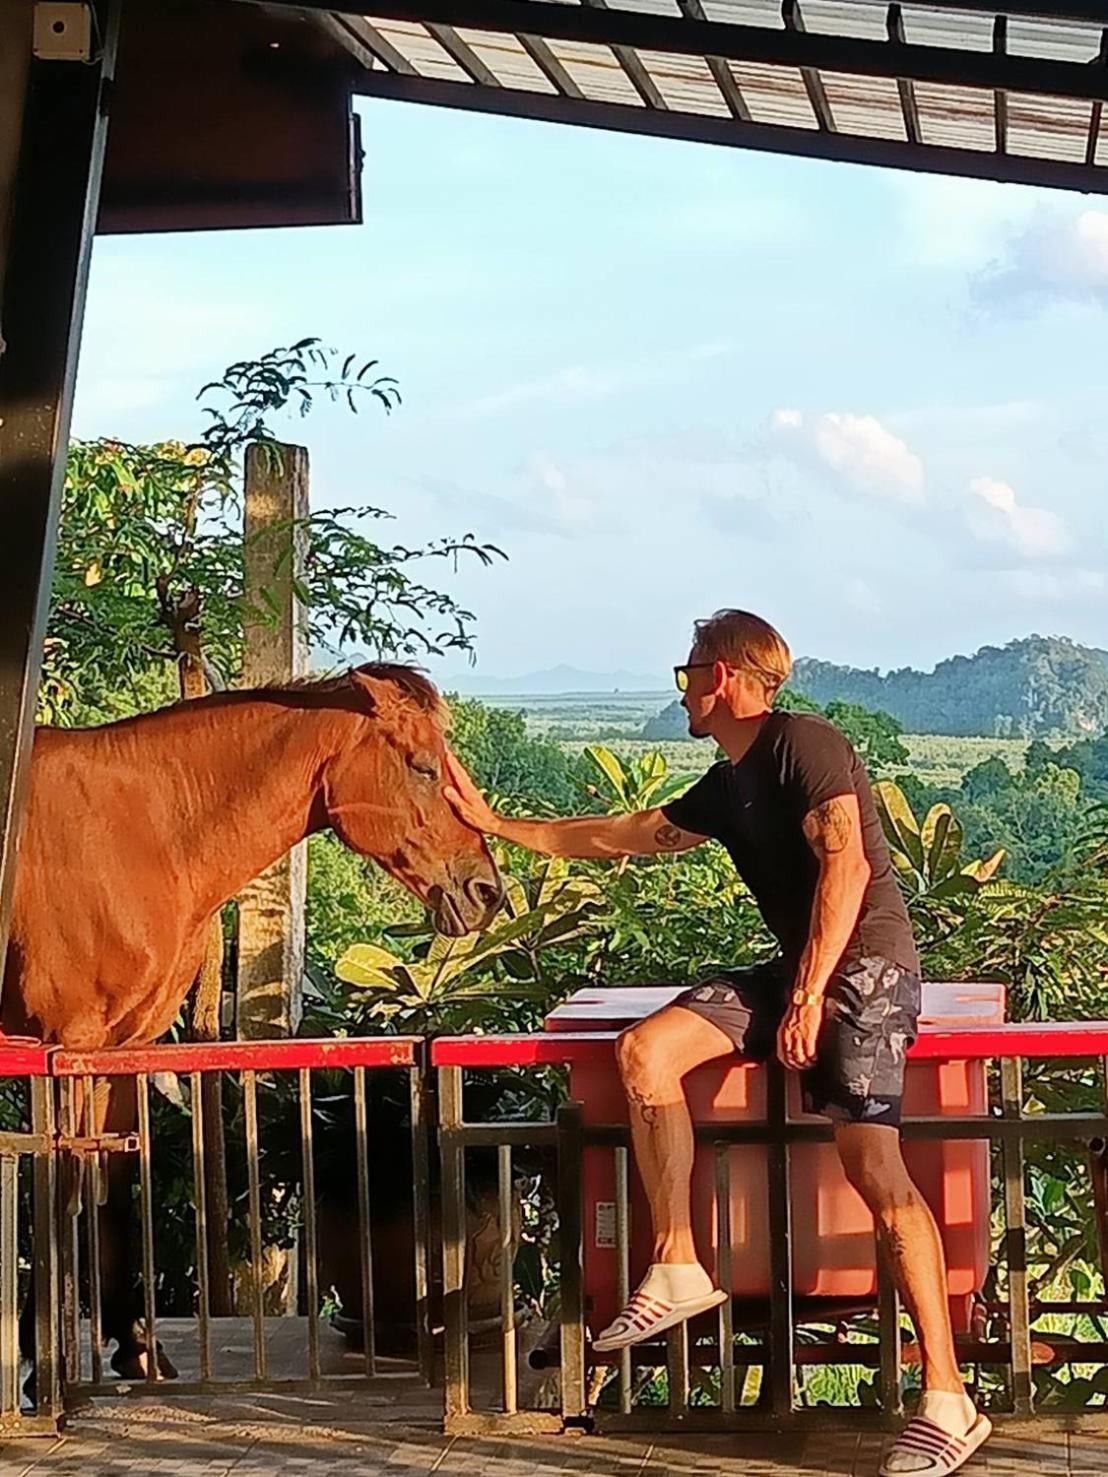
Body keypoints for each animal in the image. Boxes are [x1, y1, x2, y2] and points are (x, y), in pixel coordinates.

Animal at [3, 664, 508, 1376]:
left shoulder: (122, 1051)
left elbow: (116, 1192)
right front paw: (41, 1354)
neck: (139, 831)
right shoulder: (65, 1046)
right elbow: (63, 1189)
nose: (486, 891)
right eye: (423, 767)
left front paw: (135, 1345)